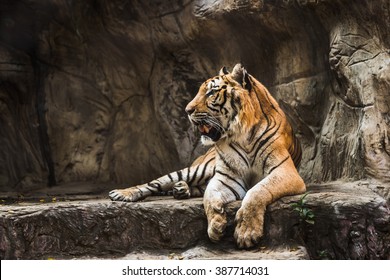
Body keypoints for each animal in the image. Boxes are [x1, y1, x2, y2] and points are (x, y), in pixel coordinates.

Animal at [109, 64, 304, 248]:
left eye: (211, 92)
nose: (187, 110)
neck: (242, 135)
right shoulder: (227, 177)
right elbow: (208, 197)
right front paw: (216, 226)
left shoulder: (285, 171)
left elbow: (257, 191)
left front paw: (246, 233)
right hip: (201, 169)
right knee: (156, 183)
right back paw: (123, 193)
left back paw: (181, 190)